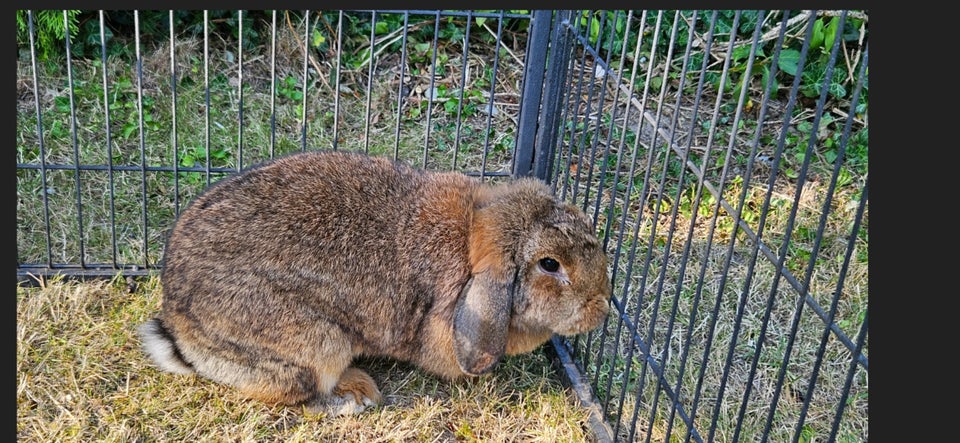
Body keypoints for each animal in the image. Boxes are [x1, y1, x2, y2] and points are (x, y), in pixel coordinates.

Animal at [139, 149, 612, 416]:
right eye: (550, 265)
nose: (602, 307)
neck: (470, 239)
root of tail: (178, 330)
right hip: (315, 342)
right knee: (302, 394)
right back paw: (355, 398)